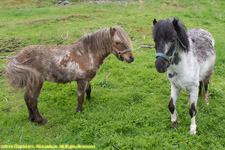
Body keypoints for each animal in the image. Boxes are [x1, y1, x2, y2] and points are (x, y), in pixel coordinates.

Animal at [4, 26, 134, 124]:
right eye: (117, 42)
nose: (131, 58)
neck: (87, 53)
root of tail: (18, 56)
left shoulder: (87, 79)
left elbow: (88, 91)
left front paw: (90, 101)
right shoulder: (81, 80)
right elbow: (80, 97)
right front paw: (79, 111)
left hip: (30, 82)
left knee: (26, 98)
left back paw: (31, 118)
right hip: (37, 83)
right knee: (32, 101)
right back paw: (40, 120)